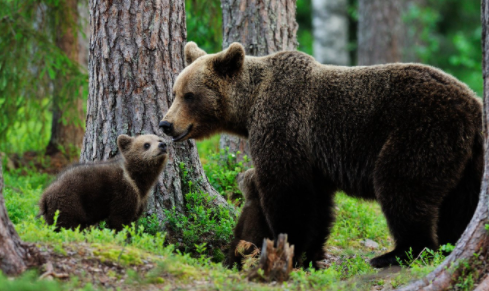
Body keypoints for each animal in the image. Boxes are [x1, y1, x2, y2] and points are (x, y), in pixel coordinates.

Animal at [159, 41, 480, 270]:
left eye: (189, 95)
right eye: (174, 92)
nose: (166, 124)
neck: (248, 108)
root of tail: (472, 103)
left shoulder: (284, 124)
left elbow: (288, 192)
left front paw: (290, 248)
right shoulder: (315, 158)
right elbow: (318, 202)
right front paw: (311, 253)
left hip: (420, 132)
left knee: (401, 186)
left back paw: (398, 253)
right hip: (466, 157)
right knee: (461, 203)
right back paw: (452, 243)